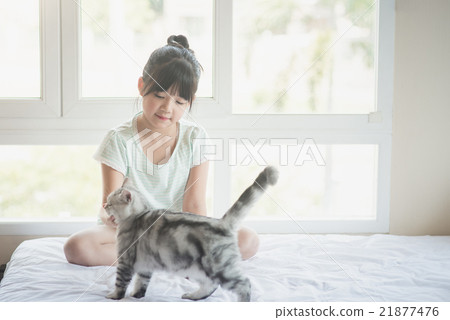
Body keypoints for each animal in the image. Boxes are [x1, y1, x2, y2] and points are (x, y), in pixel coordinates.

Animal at [104, 166, 278, 302]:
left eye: (110, 203)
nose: (104, 205)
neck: (138, 214)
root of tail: (222, 223)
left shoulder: (125, 260)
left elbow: (121, 282)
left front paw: (114, 296)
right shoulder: (145, 264)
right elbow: (141, 282)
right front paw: (136, 295)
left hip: (219, 268)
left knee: (244, 283)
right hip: (197, 269)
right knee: (210, 285)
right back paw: (193, 296)